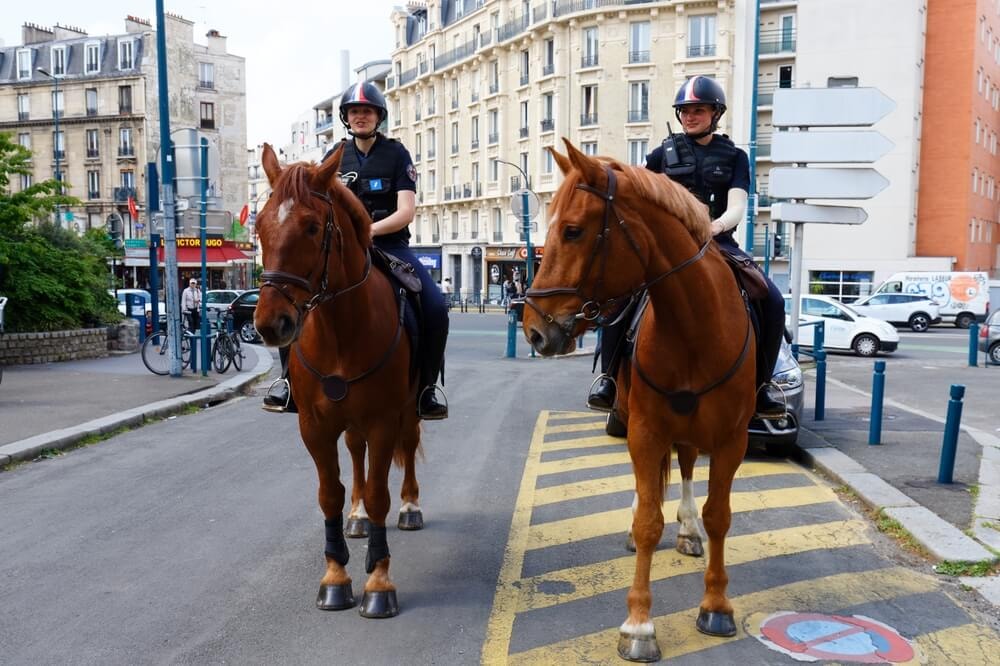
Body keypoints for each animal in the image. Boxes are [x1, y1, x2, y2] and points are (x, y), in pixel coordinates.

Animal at [253, 142, 424, 618]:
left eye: (312, 227)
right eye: (258, 225)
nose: (270, 324)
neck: (341, 331)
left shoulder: (384, 420)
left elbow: (381, 492)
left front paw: (378, 582)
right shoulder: (314, 425)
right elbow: (329, 493)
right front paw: (335, 576)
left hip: (408, 411)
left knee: (407, 448)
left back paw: (410, 506)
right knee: (355, 453)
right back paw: (357, 516)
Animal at [522, 139, 756, 661]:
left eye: (572, 230)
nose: (533, 330)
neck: (694, 327)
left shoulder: (731, 440)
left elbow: (719, 516)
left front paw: (716, 605)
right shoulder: (646, 430)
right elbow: (649, 520)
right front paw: (639, 625)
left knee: (687, 467)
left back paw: (688, 530)